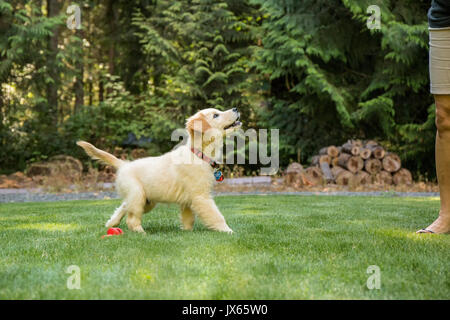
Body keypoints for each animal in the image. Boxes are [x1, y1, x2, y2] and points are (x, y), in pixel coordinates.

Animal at [76, 107, 243, 232]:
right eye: (216, 115)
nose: (236, 108)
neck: (199, 154)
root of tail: (124, 164)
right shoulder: (201, 196)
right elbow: (216, 215)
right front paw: (228, 231)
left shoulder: (188, 199)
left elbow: (188, 218)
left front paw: (186, 231)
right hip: (138, 194)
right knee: (132, 218)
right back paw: (141, 233)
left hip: (146, 200)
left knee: (125, 206)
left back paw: (112, 223)